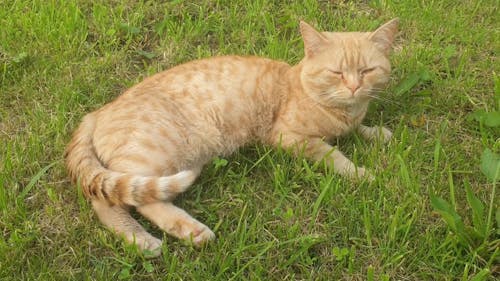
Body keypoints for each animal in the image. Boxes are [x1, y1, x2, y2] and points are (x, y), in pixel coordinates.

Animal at [64, 18, 398, 256]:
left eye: (367, 70)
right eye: (337, 72)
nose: (354, 87)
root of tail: (96, 113)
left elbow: (359, 130)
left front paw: (376, 133)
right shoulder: (289, 137)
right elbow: (334, 155)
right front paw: (361, 173)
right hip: (154, 155)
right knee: (113, 202)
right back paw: (150, 240)